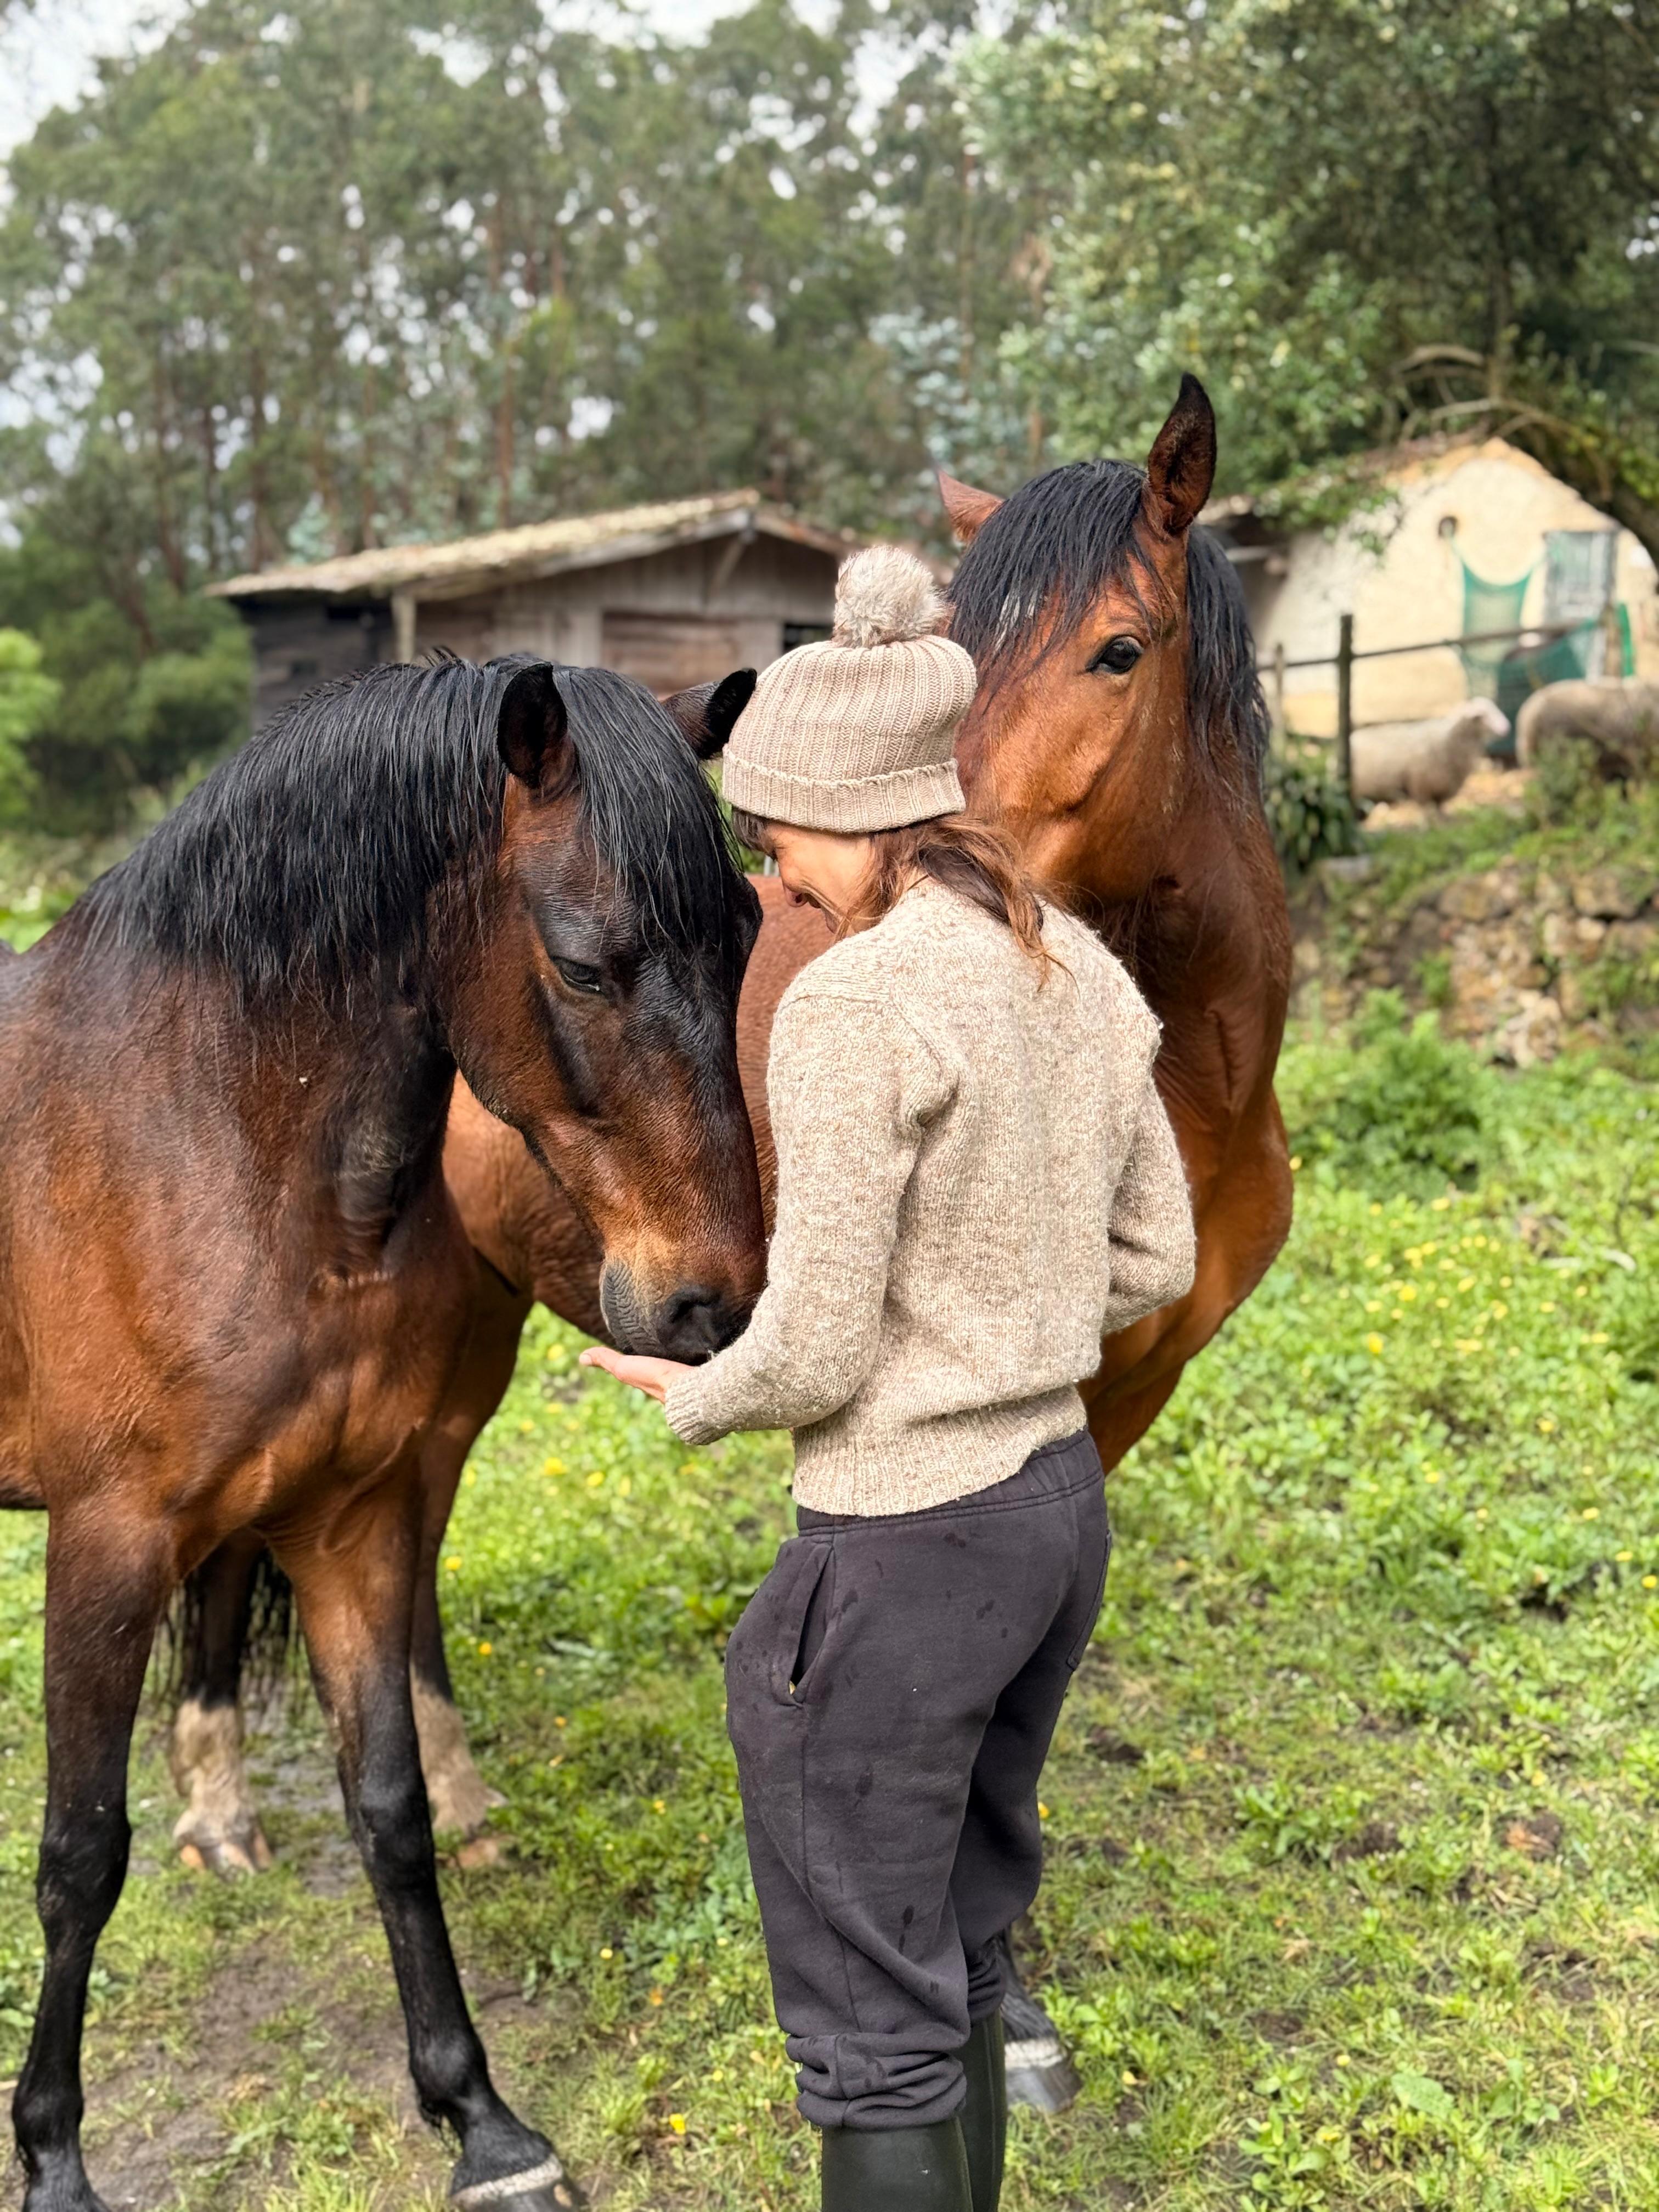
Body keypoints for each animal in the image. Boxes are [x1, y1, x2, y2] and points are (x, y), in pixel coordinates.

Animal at [0, 651, 767, 2212]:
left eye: (749, 934)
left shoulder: (348, 1514)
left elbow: (392, 1811)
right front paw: (52, 2158)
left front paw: (483, 2123)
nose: (711, 1303)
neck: (207, 1130)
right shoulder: (107, 1546)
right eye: (583, 964)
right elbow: (78, 1856)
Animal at [172, 376, 1294, 2106]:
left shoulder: (1109, 1400)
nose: (956, 870)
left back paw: (461, 1802)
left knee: (408, 1527)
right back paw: (219, 1809)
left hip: (465, 1329)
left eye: (1120, 650)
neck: (1181, 1078)